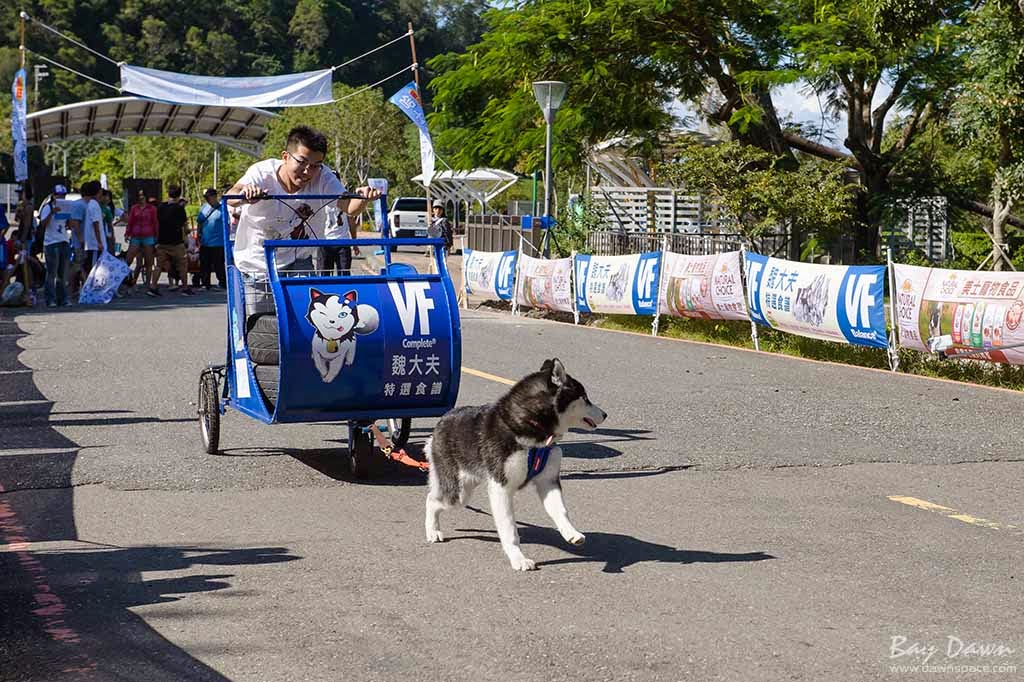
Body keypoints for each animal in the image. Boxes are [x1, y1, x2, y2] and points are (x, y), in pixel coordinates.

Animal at [425, 356, 606, 569]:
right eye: (585, 397)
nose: (605, 415)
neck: (533, 433)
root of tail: (443, 419)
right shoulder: (501, 489)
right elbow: (510, 529)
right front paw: (518, 558)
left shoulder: (548, 481)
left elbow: (560, 510)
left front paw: (571, 532)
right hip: (457, 494)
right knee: (431, 500)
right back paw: (432, 530)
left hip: (466, 488)